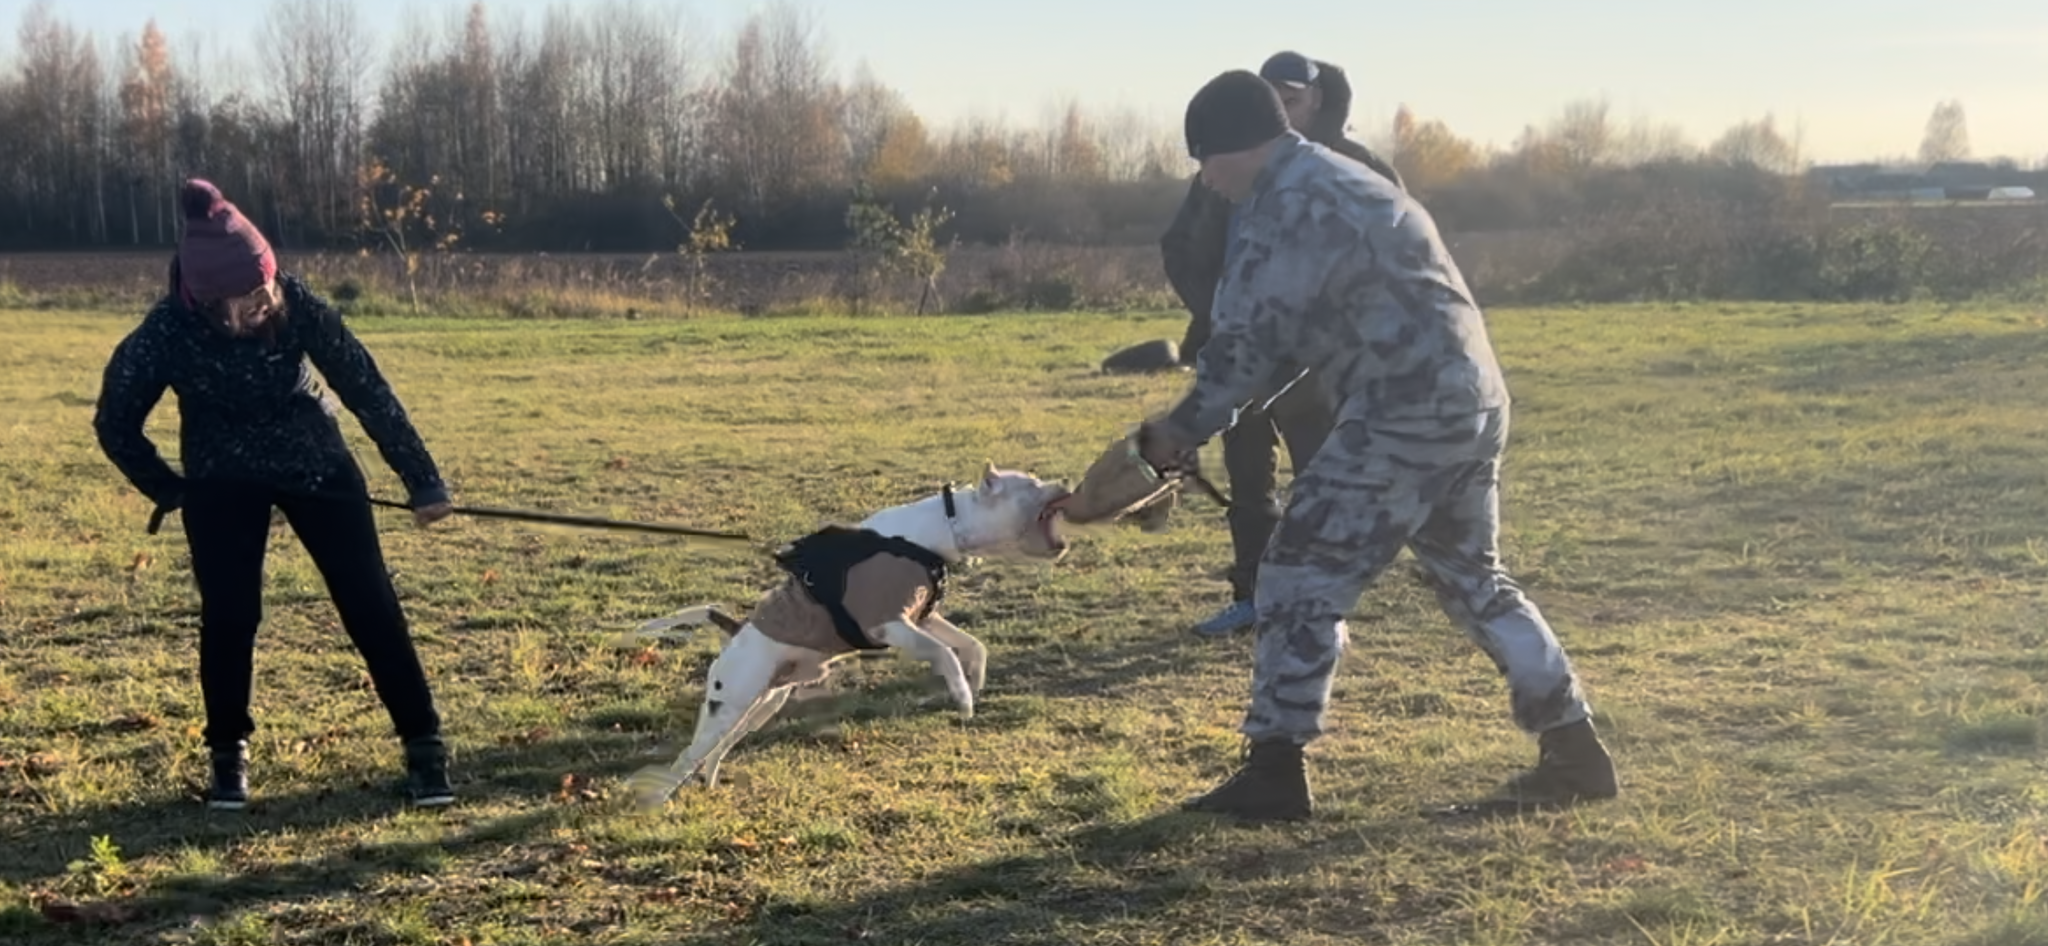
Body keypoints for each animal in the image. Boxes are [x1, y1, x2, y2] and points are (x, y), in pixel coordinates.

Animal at [614, 462, 1073, 810]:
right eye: (1031, 483)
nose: (1068, 481)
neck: (942, 528)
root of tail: (736, 630)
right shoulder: (891, 624)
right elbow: (944, 653)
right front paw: (962, 697)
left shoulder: (922, 619)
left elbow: (971, 645)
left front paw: (975, 682)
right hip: (727, 705)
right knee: (688, 756)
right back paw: (658, 799)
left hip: (761, 705)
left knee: (717, 750)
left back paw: (709, 780)